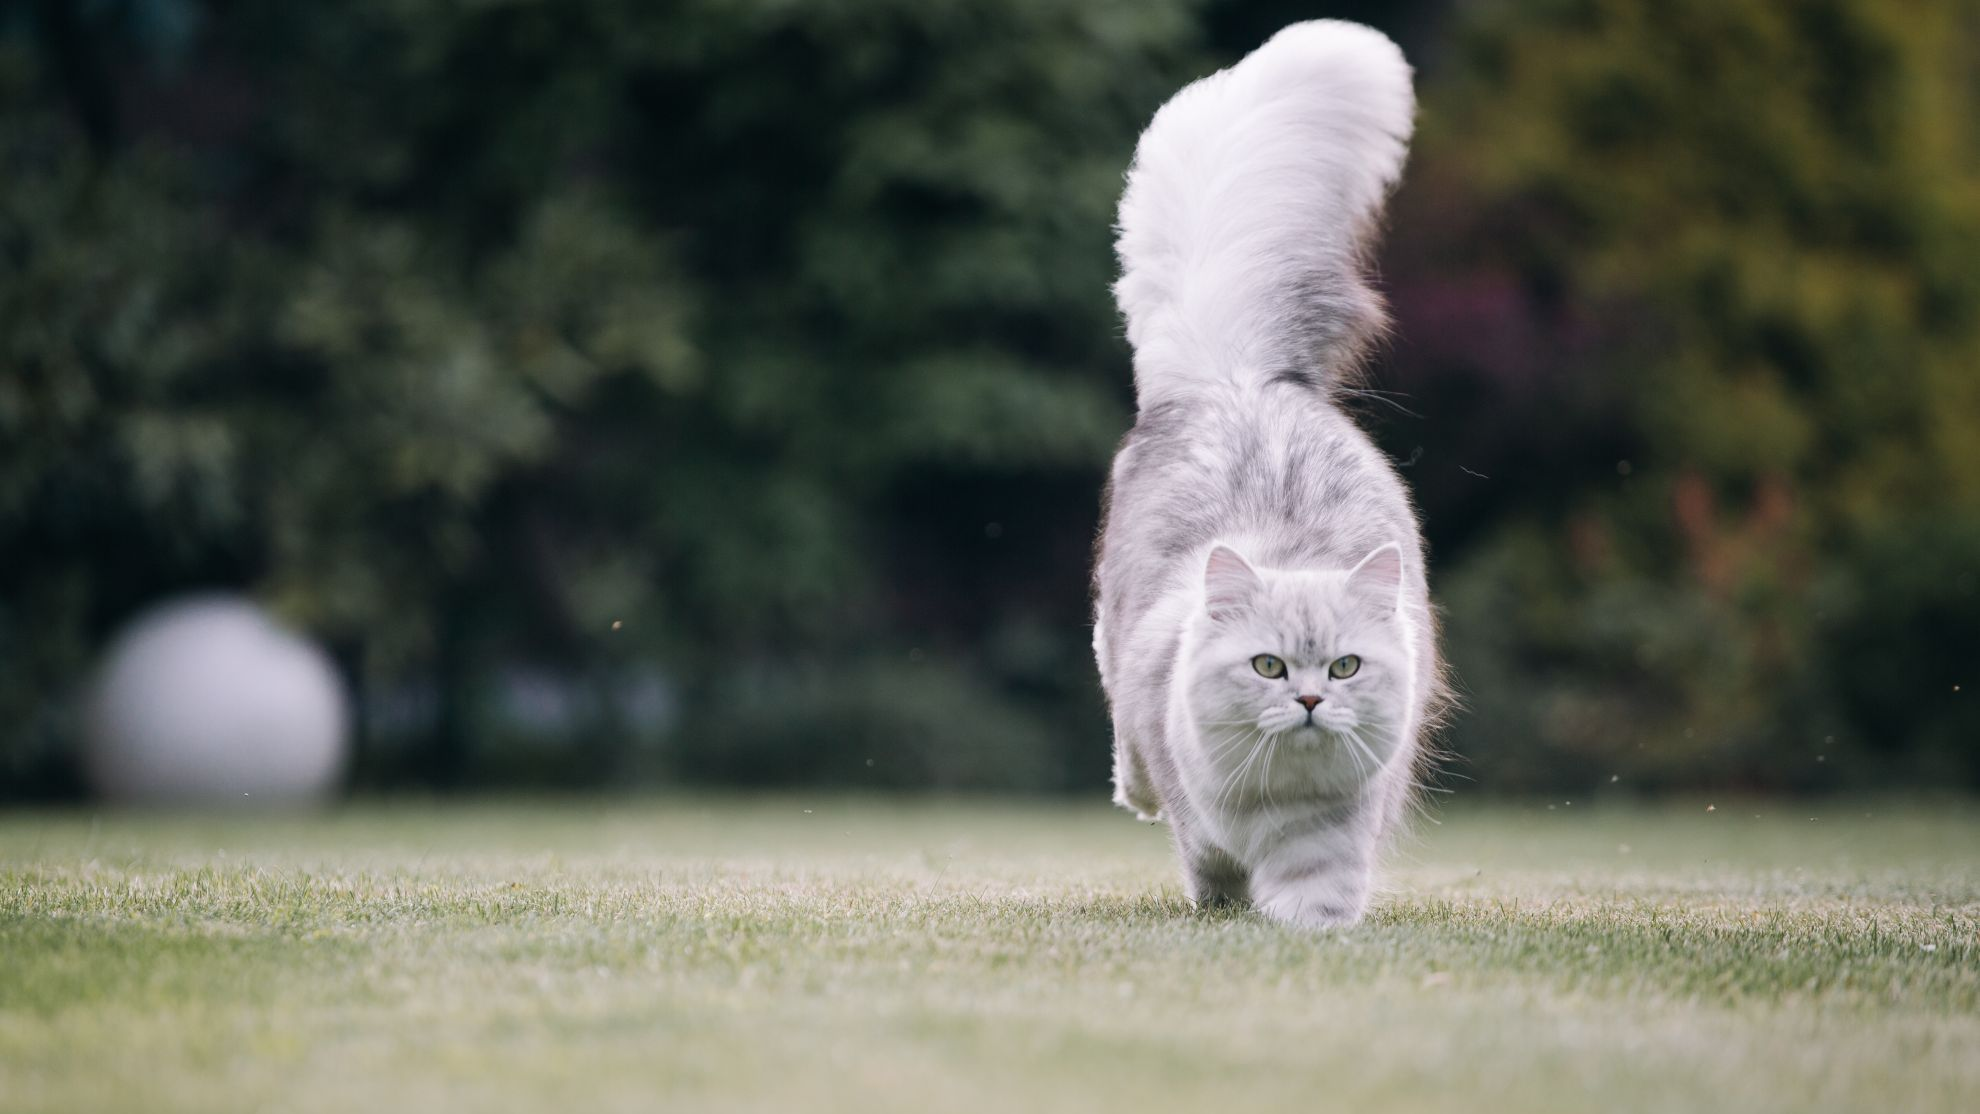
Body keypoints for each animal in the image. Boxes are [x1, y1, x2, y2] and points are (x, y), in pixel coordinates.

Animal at [1092, 21, 1449, 933]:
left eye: (1346, 669)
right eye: (1267, 667)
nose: (1312, 703)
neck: (1276, 802)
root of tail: (1237, 379)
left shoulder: (1335, 832)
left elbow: (1315, 891)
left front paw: (1301, 929)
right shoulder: (1201, 812)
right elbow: (1207, 860)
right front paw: (1223, 902)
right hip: (1112, 637)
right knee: (1128, 754)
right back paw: (1135, 796)